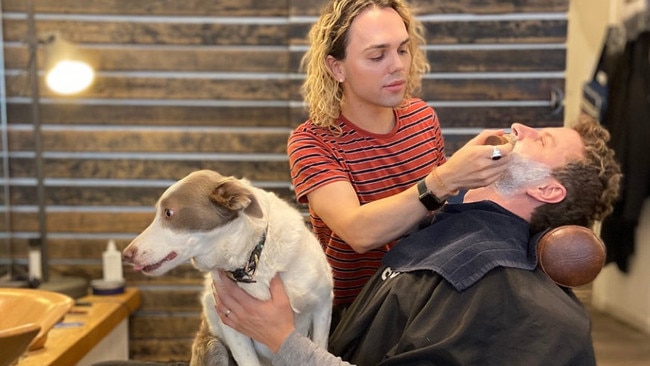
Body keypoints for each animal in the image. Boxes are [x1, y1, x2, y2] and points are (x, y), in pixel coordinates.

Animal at [123, 170, 334, 364]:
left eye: (168, 213)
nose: (126, 254)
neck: (250, 260)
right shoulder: (233, 328)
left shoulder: (323, 305)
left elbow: (321, 344)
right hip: (213, 346)